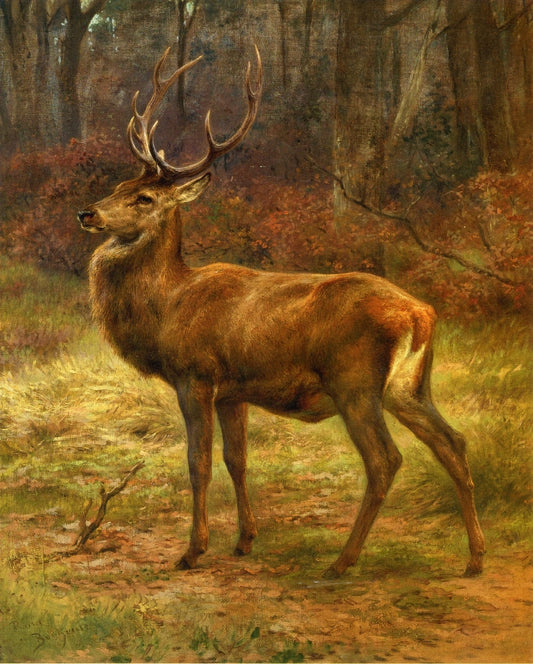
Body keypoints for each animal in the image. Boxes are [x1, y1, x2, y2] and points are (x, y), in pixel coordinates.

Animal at [78, 46, 485, 579]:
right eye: (118, 184)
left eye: (143, 197)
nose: (87, 213)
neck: (168, 307)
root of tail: (421, 314)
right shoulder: (233, 392)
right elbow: (237, 460)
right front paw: (245, 540)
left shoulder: (196, 375)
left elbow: (198, 463)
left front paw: (192, 551)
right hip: (411, 386)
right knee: (453, 443)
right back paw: (475, 558)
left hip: (354, 381)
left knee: (385, 460)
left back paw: (342, 562)